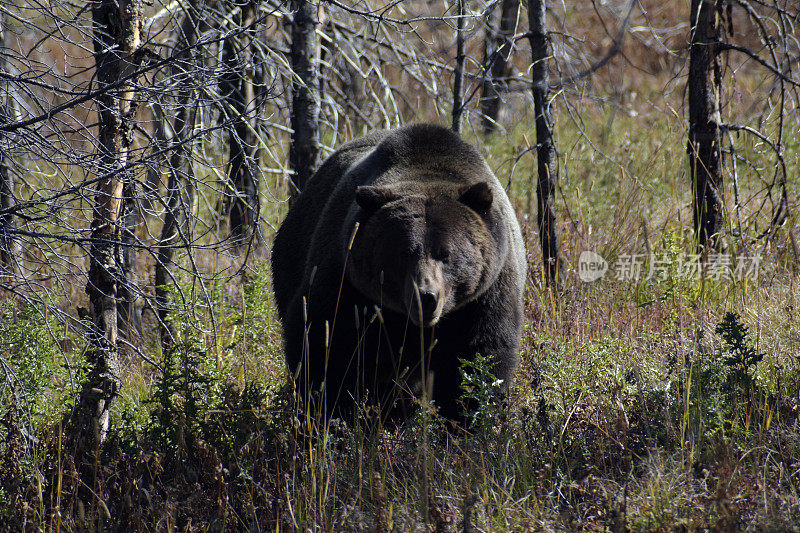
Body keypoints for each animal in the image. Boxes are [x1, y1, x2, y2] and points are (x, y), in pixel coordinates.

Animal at [272, 124, 528, 424]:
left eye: (445, 254)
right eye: (404, 252)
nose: (426, 297)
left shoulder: (484, 296)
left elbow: (480, 361)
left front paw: (468, 418)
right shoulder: (347, 282)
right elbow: (324, 346)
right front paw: (331, 413)